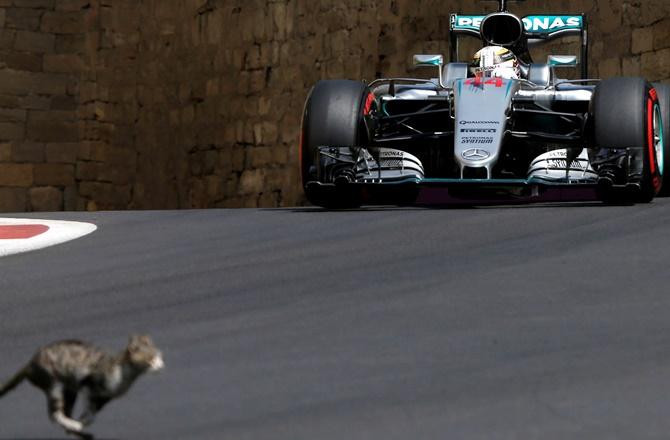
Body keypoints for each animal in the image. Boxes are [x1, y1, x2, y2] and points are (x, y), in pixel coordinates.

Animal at [0, 336, 165, 438]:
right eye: (151, 359)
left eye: (160, 356)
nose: (161, 365)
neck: (123, 377)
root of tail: (30, 363)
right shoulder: (87, 383)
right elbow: (89, 408)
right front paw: (79, 423)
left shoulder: (105, 398)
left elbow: (91, 414)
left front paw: (82, 422)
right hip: (54, 384)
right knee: (54, 414)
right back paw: (73, 425)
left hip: (69, 391)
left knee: (63, 412)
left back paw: (76, 430)